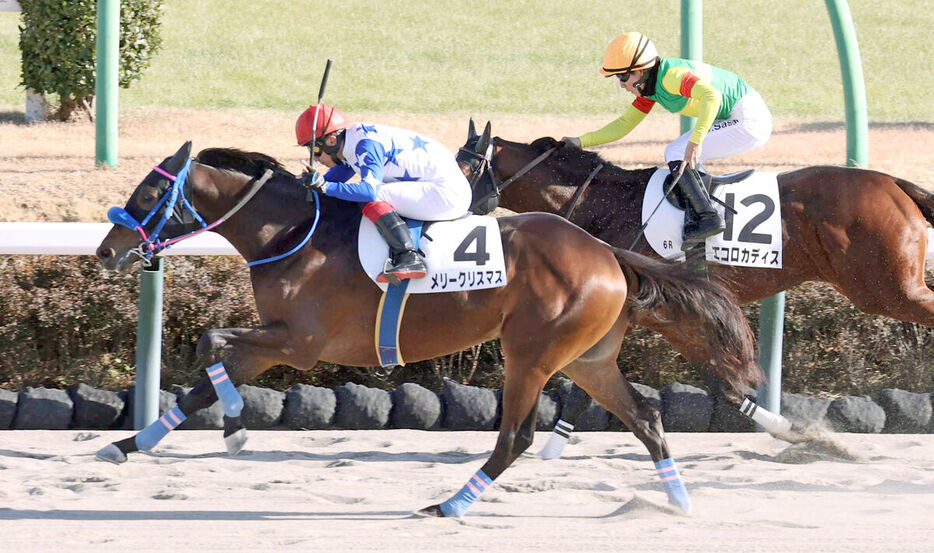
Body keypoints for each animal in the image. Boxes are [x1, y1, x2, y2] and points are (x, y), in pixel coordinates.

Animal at [93, 140, 760, 516]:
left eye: (149, 192)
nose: (105, 250)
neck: (290, 233)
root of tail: (606, 252)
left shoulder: (300, 342)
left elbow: (211, 344)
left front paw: (233, 428)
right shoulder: (277, 336)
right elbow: (203, 379)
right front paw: (124, 445)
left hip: (533, 352)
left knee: (516, 437)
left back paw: (451, 505)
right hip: (586, 357)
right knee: (645, 417)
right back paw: (677, 502)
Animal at [458, 119, 934, 444]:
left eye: (463, 170)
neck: (605, 202)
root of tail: (893, 183)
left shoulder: (657, 308)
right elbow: (720, 385)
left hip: (887, 290)